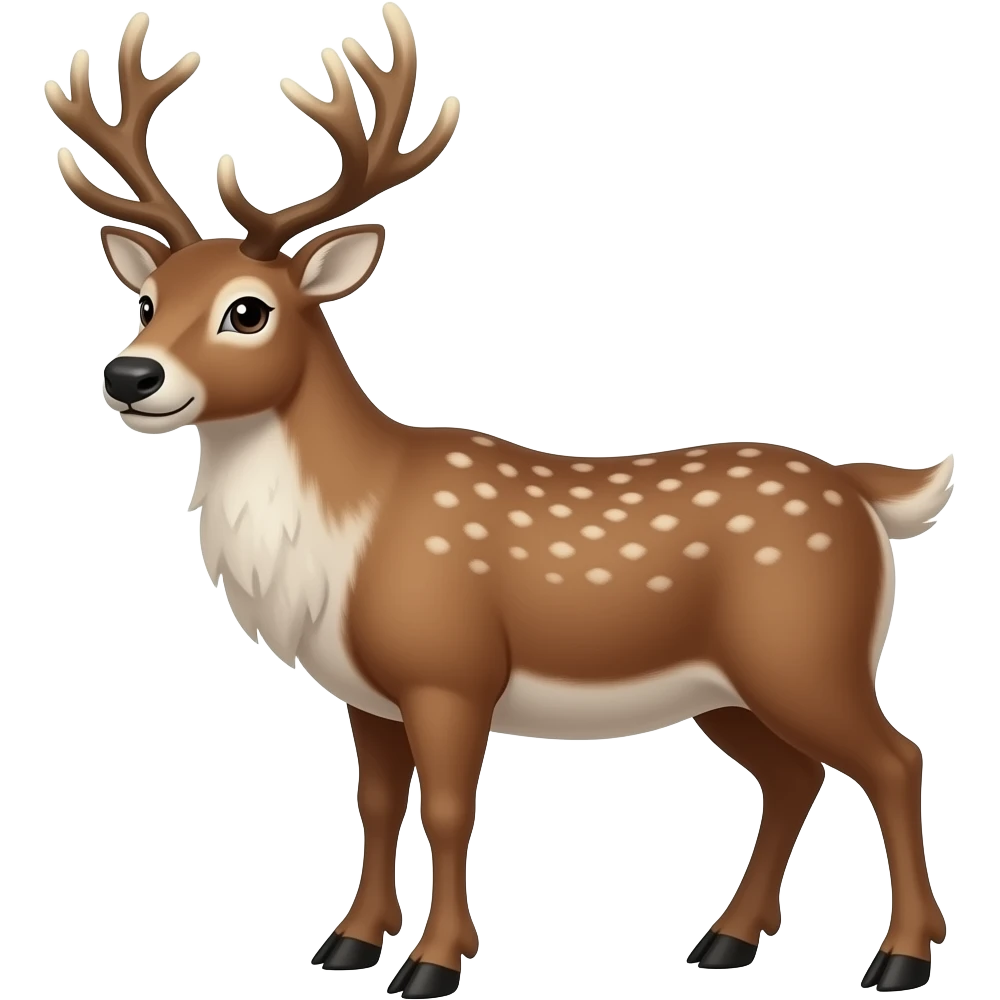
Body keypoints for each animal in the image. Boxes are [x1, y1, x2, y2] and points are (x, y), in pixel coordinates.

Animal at [45, 6, 955, 996]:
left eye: (248, 311)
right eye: (149, 299)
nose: (131, 376)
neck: (347, 534)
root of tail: (864, 491)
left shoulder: (451, 666)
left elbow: (448, 808)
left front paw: (434, 963)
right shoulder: (366, 691)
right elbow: (374, 802)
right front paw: (349, 943)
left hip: (807, 650)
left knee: (895, 759)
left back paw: (901, 957)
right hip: (726, 686)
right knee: (795, 777)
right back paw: (726, 941)